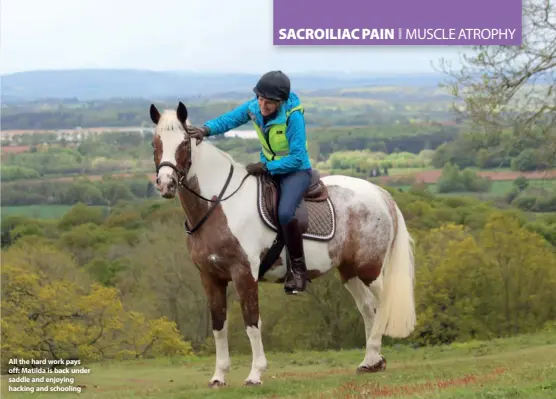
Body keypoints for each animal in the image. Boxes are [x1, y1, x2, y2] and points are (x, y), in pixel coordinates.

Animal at [149, 102, 416, 388]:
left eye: (184, 144)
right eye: (155, 143)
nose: (166, 184)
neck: (219, 204)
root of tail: (380, 194)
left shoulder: (244, 275)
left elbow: (251, 322)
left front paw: (255, 374)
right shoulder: (210, 278)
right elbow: (219, 325)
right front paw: (218, 376)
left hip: (369, 269)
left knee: (382, 304)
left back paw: (374, 356)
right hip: (349, 270)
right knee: (368, 308)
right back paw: (371, 361)